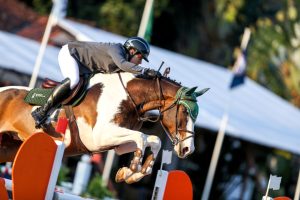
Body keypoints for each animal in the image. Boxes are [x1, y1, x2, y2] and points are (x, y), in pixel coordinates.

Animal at [0, 71, 207, 184]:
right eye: (185, 112)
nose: (188, 149)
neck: (129, 97)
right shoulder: (100, 137)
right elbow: (142, 137)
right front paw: (131, 170)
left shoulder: (117, 142)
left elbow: (153, 140)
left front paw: (132, 175)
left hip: (11, 147)